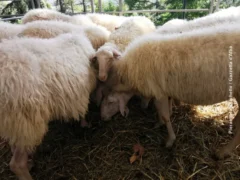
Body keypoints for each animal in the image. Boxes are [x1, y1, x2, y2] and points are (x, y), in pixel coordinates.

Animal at [0, 32, 97, 180]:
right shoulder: (81, 95)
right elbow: (83, 112)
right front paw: (85, 124)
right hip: (27, 120)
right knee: (16, 164)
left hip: (16, 124)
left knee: (15, 145)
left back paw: (29, 162)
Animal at [103, 21, 240, 160]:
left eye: (110, 102)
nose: (102, 118)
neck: (127, 72)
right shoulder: (162, 91)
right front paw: (159, 123)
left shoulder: (159, 92)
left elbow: (165, 115)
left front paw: (170, 139)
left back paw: (223, 151)